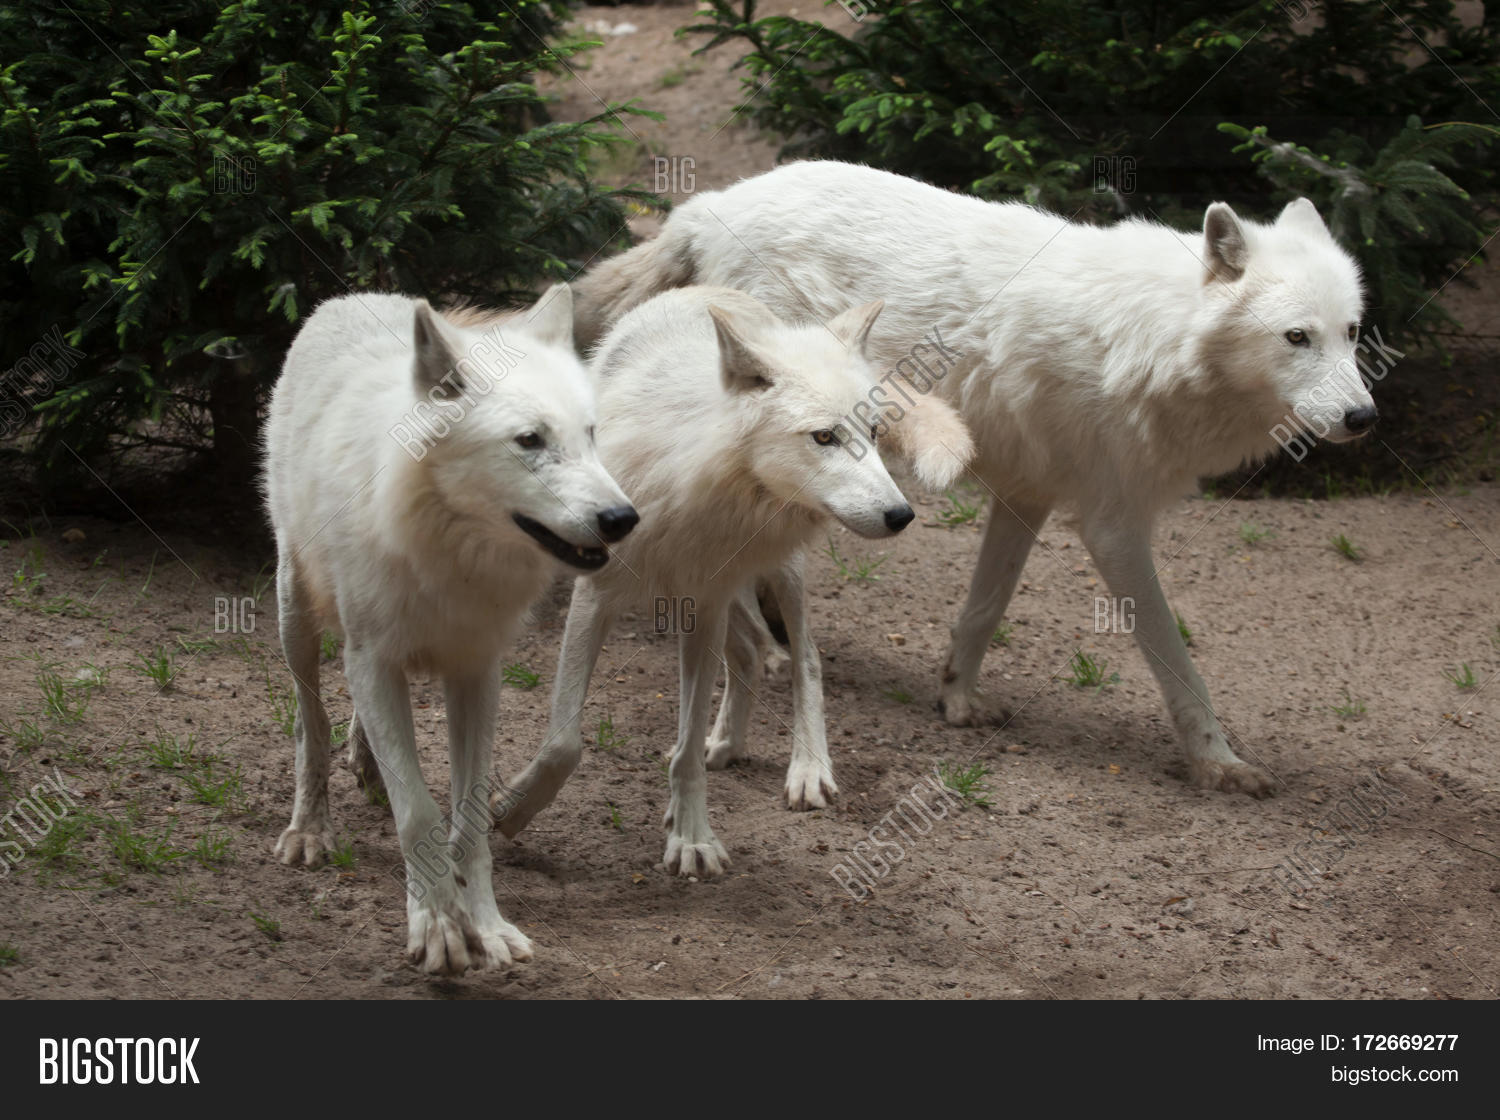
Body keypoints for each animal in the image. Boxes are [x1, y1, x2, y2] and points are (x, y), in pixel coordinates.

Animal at [263, 284, 637, 975]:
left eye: (591, 434)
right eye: (529, 440)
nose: (623, 518)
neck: (453, 549)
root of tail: (352, 294)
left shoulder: (476, 671)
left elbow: (468, 819)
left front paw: (485, 925)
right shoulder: (373, 658)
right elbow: (417, 811)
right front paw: (437, 926)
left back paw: (365, 763)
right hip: (294, 613)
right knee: (310, 720)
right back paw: (309, 828)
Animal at [491, 286, 973, 876]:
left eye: (875, 431)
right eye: (824, 436)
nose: (902, 515)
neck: (693, 474)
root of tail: (712, 290)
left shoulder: (704, 604)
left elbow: (685, 751)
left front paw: (692, 838)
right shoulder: (603, 593)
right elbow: (563, 744)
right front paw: (514, 810)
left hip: (777, 574)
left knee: (804, 655)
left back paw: (806, 767)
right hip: (726, 591)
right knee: (751, 651)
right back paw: (726, 744)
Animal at [573, 160, 1379, 796]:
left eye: (1351, 333)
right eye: (1296, 337)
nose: (1364, 416)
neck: (1156, 340)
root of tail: (708, 203)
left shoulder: (1027, 496)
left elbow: (984, 607)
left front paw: (958, 697)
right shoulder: (1112, 528)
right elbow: (1176, 660)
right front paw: (1219, 762)